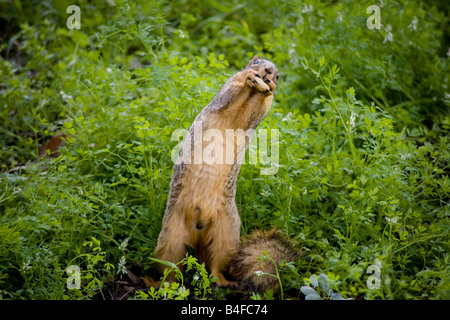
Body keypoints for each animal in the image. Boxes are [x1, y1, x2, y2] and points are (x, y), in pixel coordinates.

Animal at [153, 55, 300, 292]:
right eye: (256, 61)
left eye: (279, 76)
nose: (268, 73)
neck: (251, 94)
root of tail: (199, 229)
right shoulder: (226, 90)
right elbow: (230, 94)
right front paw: (249, 79)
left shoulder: (252, 118)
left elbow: (256, 112)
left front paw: (269, 89)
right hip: (171, 237)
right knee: (171, 266)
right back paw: (165, 284)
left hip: (227, 235)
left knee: (215, 263)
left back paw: (222, 280)